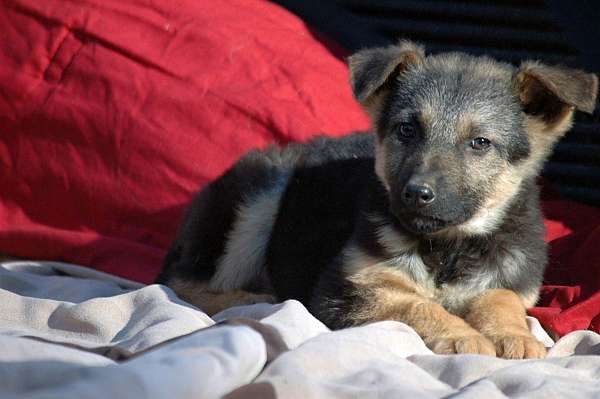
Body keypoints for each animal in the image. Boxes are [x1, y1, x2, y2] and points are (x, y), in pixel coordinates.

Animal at [157, 39, 596, 360]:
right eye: (407, 130)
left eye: (480, 143)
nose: (416, 194)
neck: (446, 247)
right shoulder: (344, 290)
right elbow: (414, 303)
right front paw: (462, 335)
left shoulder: (512, 278)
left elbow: (501, 298)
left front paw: (513, 334)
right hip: (260, 193)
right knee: (181, 282)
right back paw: (254, 298)